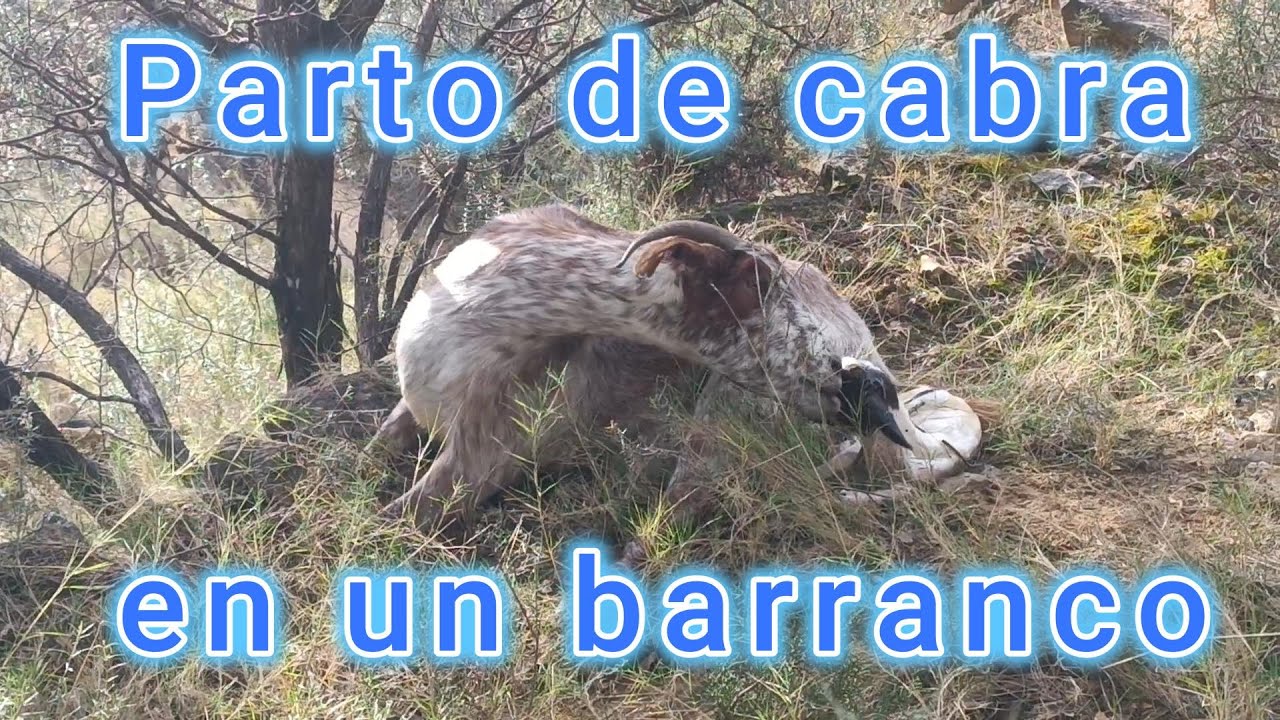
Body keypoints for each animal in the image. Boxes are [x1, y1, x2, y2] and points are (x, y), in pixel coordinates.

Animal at [371, 204, 924, 545]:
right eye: (751, 285)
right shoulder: (411, 412)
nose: (871, 389)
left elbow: (391, 520)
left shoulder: (482, 458)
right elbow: (375, 452)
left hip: (713, 432)